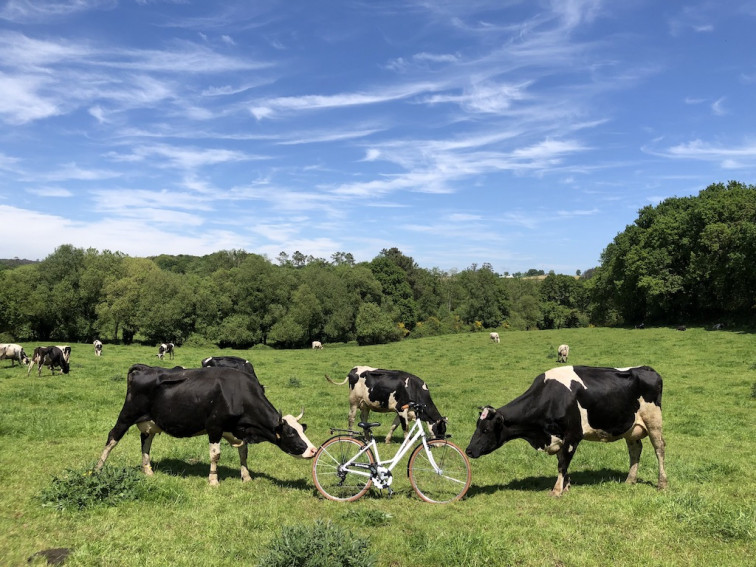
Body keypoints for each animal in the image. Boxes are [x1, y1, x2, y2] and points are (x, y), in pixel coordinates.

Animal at [96, 366, 318, 486]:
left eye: (302, 429)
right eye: (291, 433)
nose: (314, 450)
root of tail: (144, 367)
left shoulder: (237, 431)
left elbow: (244, 453)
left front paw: (246, 477)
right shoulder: (214, 427)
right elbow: (215, 455)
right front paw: (213, 480)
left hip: (150, 422)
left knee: (146, 442)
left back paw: (148, 470)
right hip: (127, 415)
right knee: (112, 437)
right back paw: (97, 469)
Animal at [466, 368, 668, 496]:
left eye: (486, 429)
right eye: (477, 426)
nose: (468, 450)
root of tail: (647, 369)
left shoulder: (573, 435)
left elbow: (562, 463)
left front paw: (557, 490)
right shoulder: (559, 438)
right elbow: (562, 461)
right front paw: (566, 485)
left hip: (654, 421)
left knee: (659, 449)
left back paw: (662, 484)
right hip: (631, 428)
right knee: (635, 450)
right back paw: (630, 480)